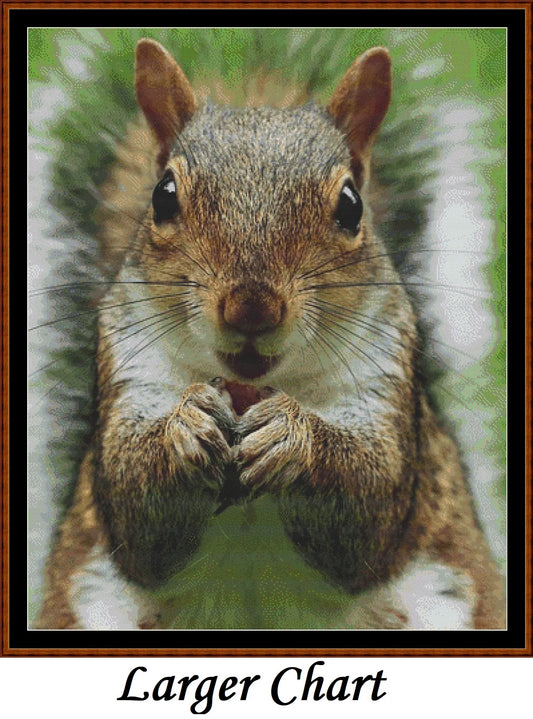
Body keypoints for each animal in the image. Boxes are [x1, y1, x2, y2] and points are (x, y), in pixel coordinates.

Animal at [34, 37, 505, 630]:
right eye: (162, 195)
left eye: (351, 205)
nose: (251, 309)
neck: (254, 386)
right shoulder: (128, 365)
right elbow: (134, 509)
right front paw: (186, 425)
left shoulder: (386, 376)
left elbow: (369, 504)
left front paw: (291, 435)